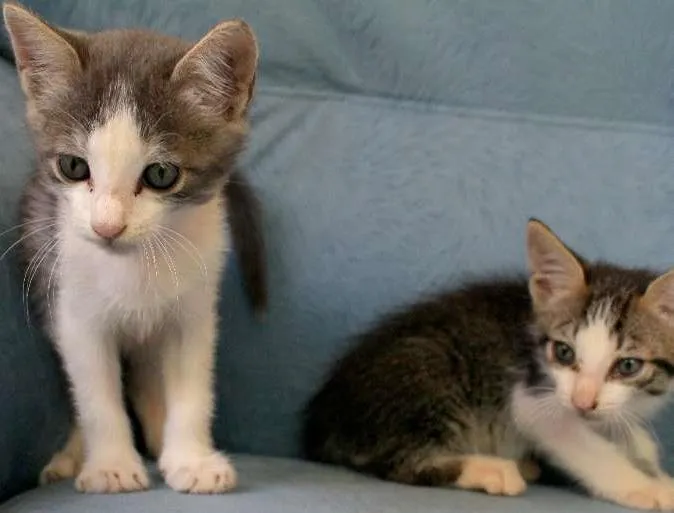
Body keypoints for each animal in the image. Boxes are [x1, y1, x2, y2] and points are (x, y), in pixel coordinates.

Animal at [3, 2, 266, 494]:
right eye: (73, 166)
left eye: (161, 174)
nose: (107, 226)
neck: (136, 268)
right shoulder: (74, 313)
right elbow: (95, 395)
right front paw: (110, 465)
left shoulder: (193, 312)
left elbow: (192, 387)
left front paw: (192, 459)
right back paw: (73, 456)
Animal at [306, 219, 674, 508]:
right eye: (564, 352)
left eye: (628, 366)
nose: (583, 402)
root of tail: (323, 416)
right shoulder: (532, 398)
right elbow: (585, 445)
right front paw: (647, 487)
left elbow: (631, 437)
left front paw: (652, 468)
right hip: (428, 367)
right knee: (396, 460)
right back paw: (492, 468)